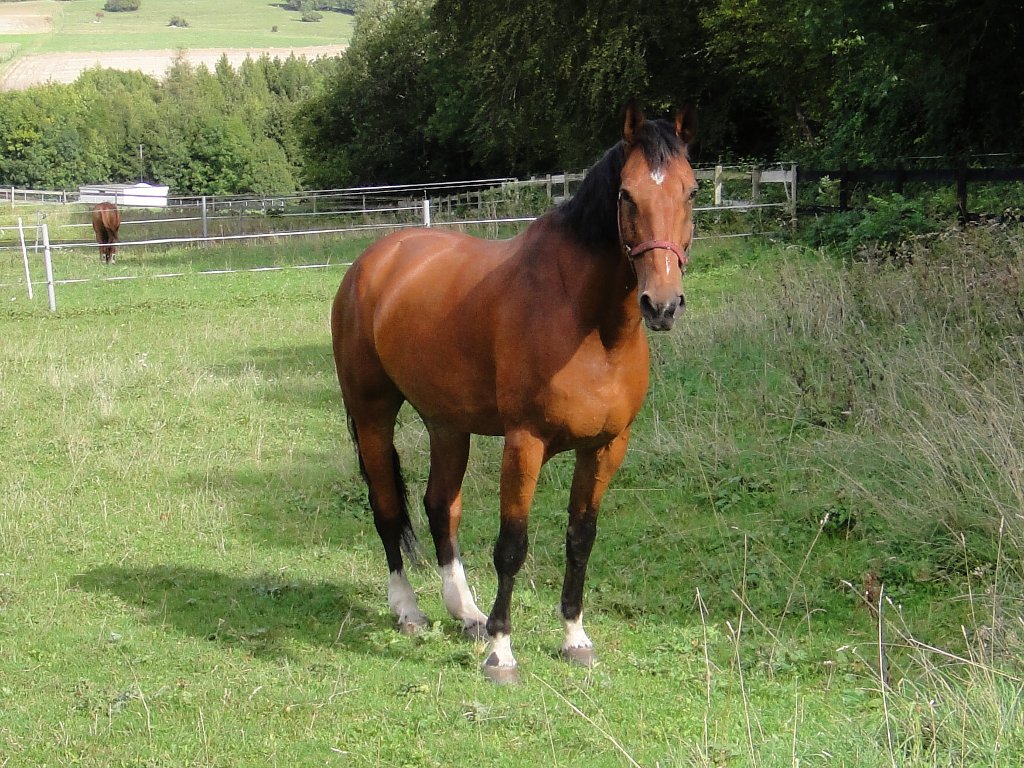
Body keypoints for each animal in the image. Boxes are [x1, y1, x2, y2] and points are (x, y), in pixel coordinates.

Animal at [331, 103, 697, 683]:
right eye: (626, 194)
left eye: (690, 191)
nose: (661, 304)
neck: (587, 324)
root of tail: (375, 260)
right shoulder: (525, 443)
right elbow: (512, 546)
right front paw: (501, 652)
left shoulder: (607, 446)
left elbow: (580, 539)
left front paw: (574, 637)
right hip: (372, 414)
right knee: (388, 508)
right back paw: (409, 610)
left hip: (447, 425)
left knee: (441, 507)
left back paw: (467, 612)